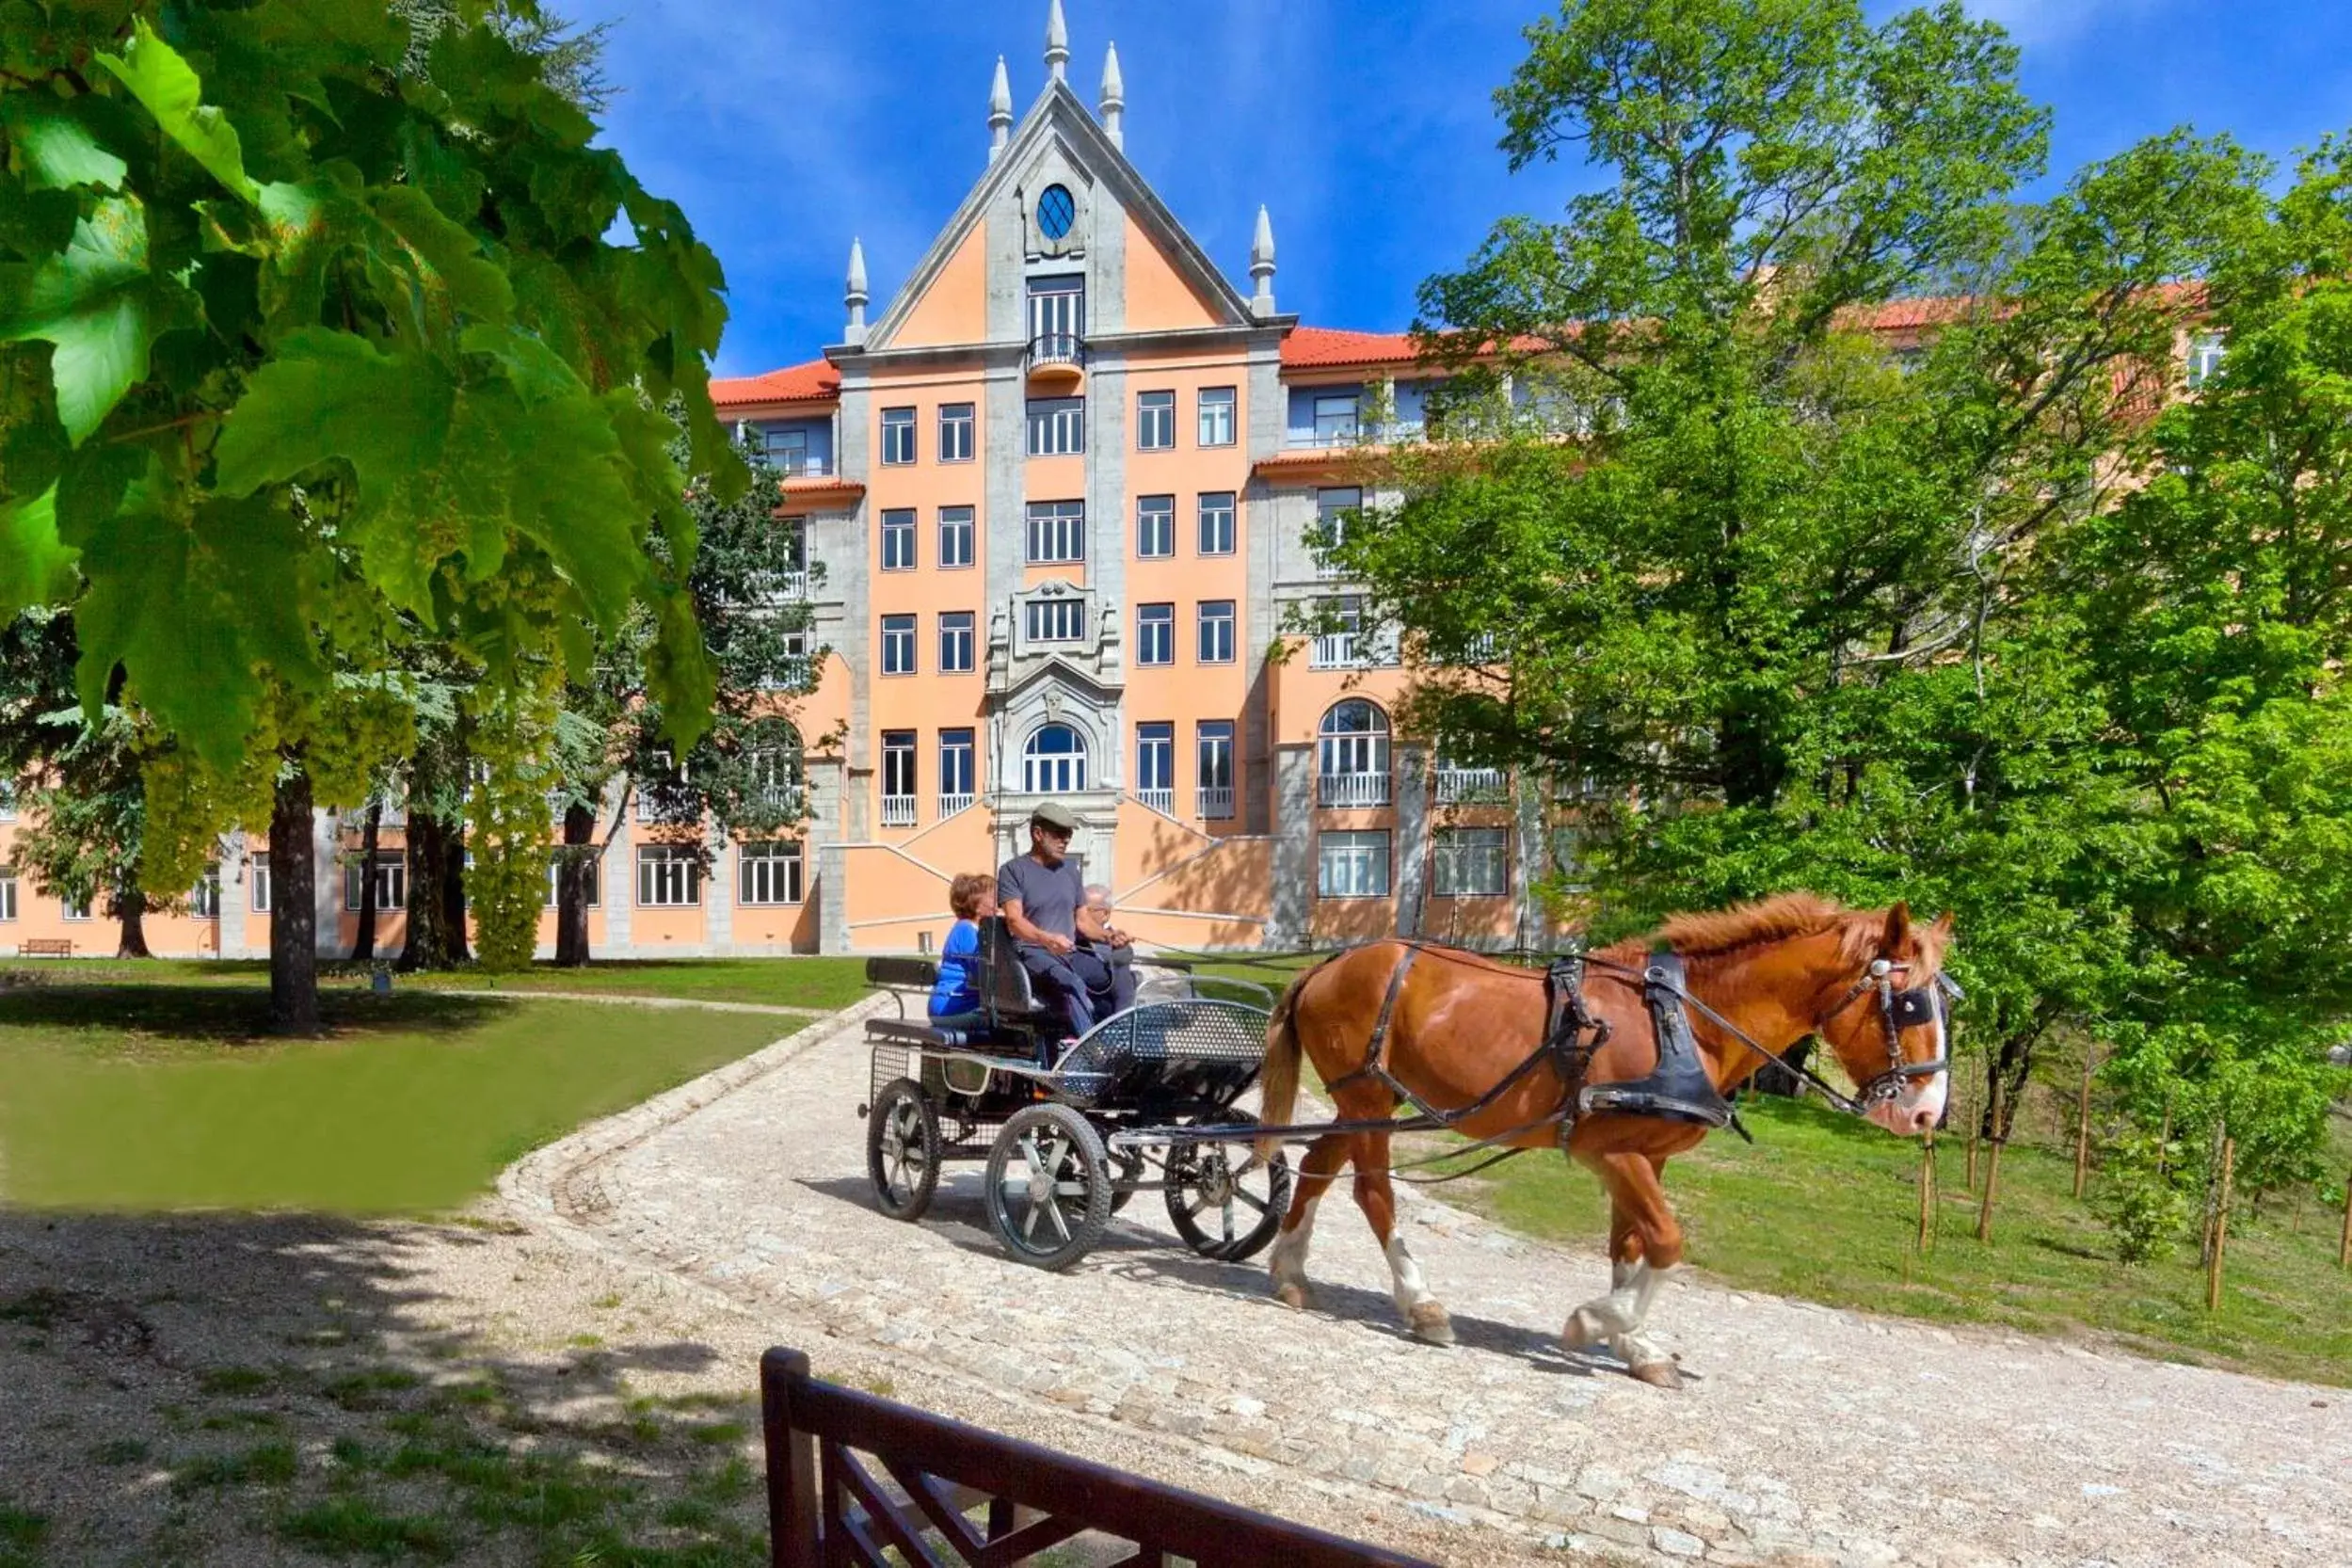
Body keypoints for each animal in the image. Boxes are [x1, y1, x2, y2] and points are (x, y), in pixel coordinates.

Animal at [1260, 893, 1957, 1382]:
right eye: (1911, 1005)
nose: (1925, 1114)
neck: (1685, 1024)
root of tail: (1329, 964)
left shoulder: (1647, 1158)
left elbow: (1630, 1245)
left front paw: (1633, 1342)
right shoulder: (1613, 1151)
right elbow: (1667, 1242)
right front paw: (1599, 1320)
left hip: (1363, 1103)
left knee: (1317, 1165)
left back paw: (1289, 1273)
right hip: (1367, 1097)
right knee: (1374, 1193)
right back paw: (1422, 1304)